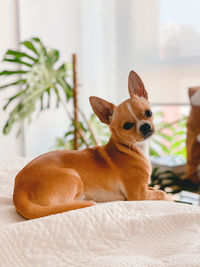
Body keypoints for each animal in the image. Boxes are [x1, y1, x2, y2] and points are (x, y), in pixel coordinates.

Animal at [12, 71, 172, 220]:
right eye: (127, 126)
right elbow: (162, 193)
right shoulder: (138, 194)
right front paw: (169, 198)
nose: (145, 126)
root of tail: (18, 191)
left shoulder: (145, 188)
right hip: (74, 177)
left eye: (148, 113)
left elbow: (155, 189)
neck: (132, 149)